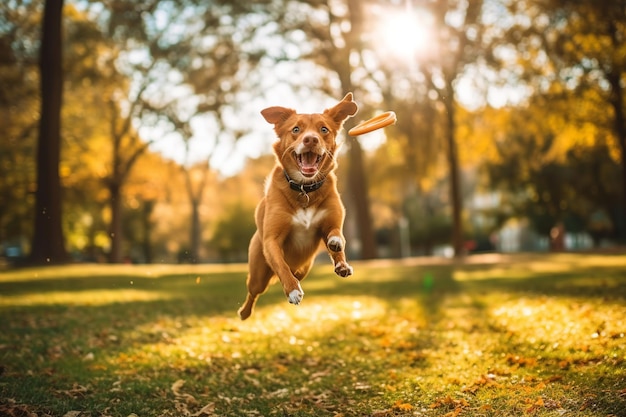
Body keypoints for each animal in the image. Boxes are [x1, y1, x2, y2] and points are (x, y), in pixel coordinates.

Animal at [238, 92, 358, 318]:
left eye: (323, 129)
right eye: (295, 129)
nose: (310, 139)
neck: (305, 189)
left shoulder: (331, 220)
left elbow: (337, 235)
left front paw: (340, 257)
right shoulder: (271, 240)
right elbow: (282, 267)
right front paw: (293, 291)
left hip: (304, 268)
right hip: (258, 273)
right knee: (254, 290)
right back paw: (244, 312)